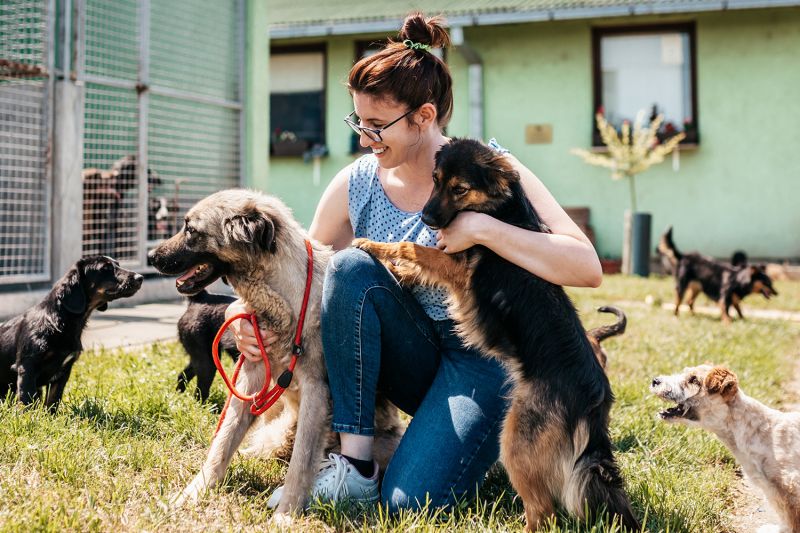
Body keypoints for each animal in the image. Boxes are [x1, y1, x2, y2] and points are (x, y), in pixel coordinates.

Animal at [0, 256, 142, 410]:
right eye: (105, 268)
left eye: (118, 264)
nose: (140, 277)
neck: (59, 322)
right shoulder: (27, 367)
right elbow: (28, 400)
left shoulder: (64, 371)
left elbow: (53, 400)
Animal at [148, 188, 404, 516]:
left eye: (191, 230)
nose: (150, 257)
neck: (281, 301)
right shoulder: (251, 377)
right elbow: (222, 442)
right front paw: (193, 492)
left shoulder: (316, 393)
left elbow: (301, 463)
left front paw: (286, 513)